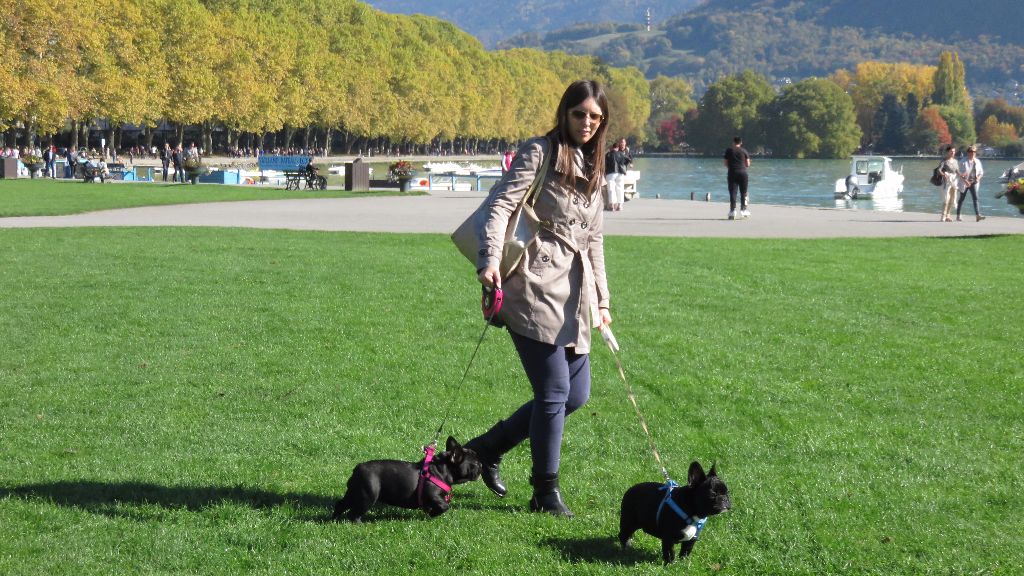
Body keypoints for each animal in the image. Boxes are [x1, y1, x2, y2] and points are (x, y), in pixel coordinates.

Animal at [333, 434, 481, 520]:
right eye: (475, 464)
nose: (481, 465)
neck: (442, 470)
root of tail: (358, 468)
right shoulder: (433, 495)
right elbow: (445, 506)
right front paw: (432, 514)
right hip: (368, 496)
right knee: (354, 513)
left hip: (354, 493)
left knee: (341, 504)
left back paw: (334, 518)